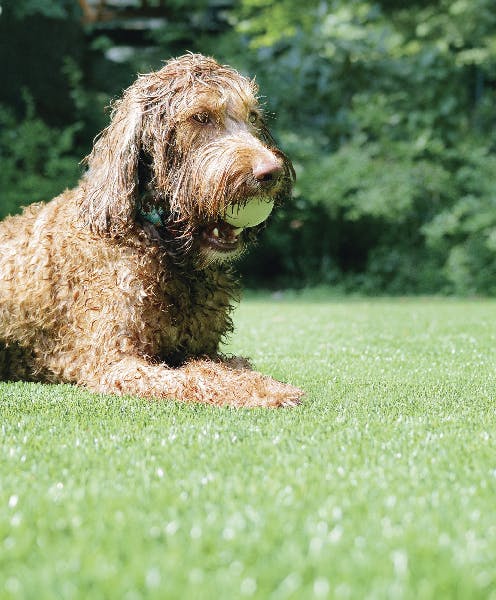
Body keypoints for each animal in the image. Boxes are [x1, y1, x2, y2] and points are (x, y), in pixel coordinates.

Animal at [0, 54, 302, 408]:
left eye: (252, 117)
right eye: (201, 117)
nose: (272, 172)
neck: (160, 241)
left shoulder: (204, 349)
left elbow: (219, 367)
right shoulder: (115, 363)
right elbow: (195, 380)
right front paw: (266, 392)